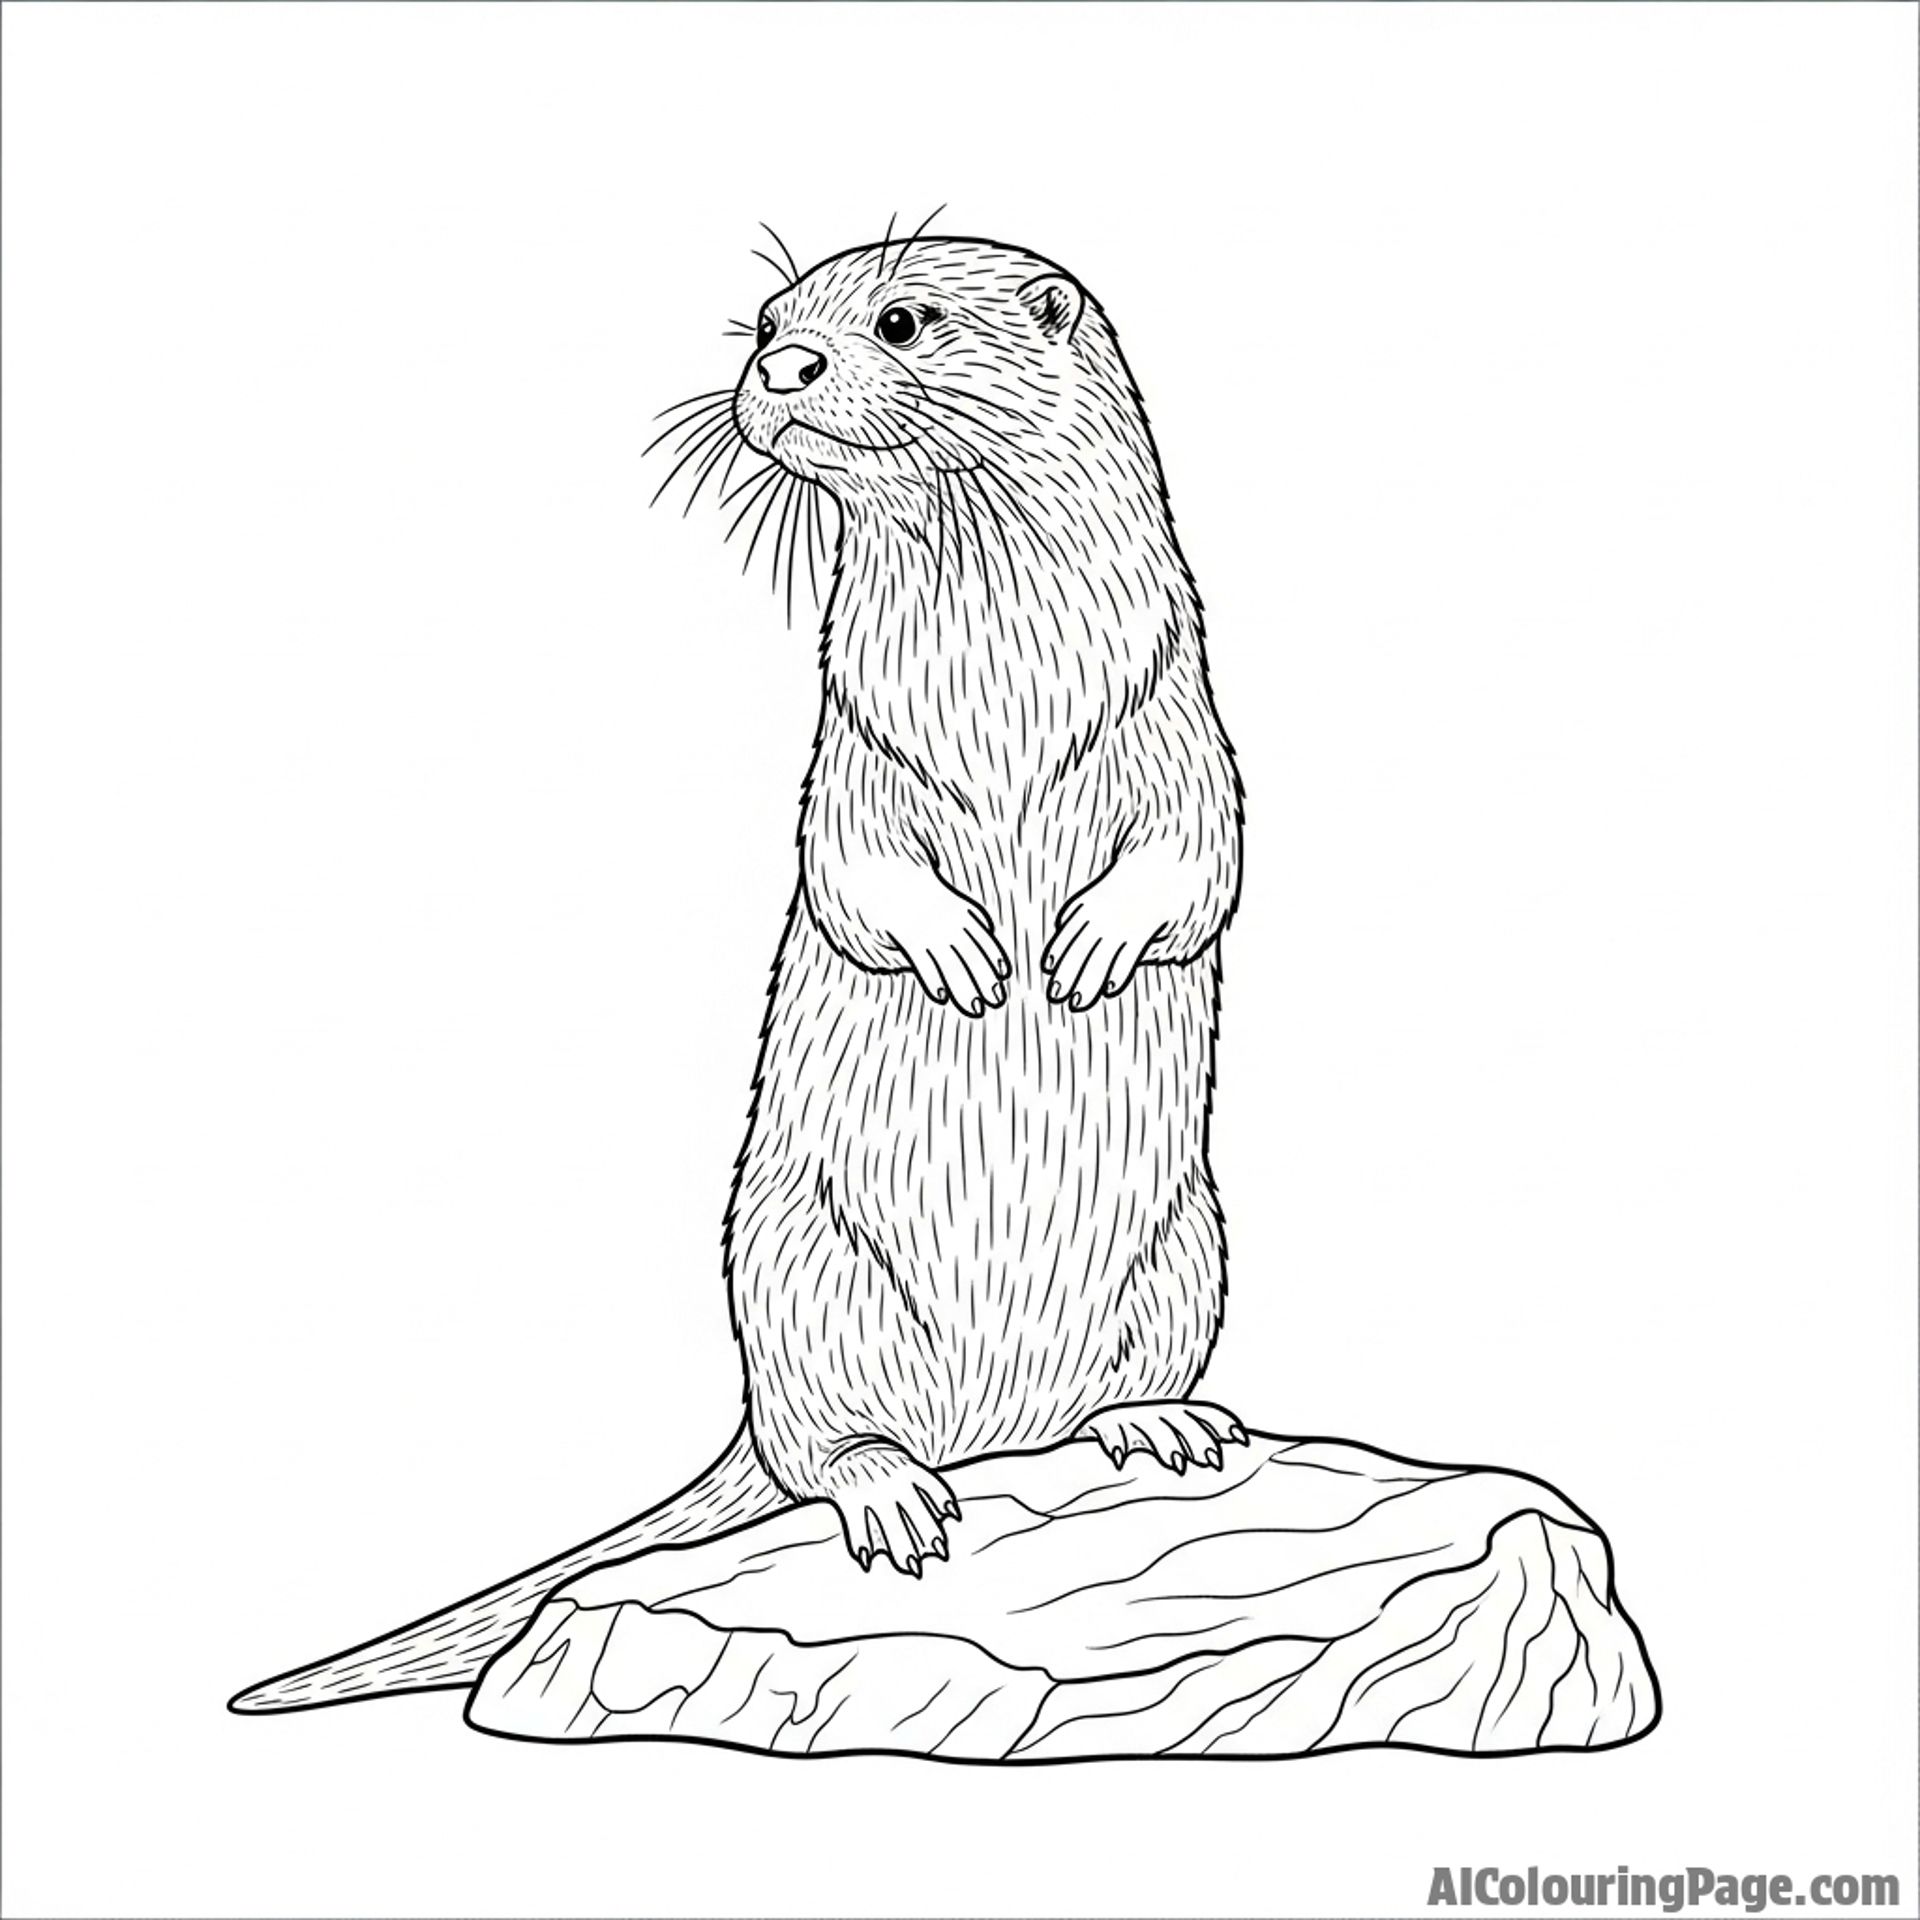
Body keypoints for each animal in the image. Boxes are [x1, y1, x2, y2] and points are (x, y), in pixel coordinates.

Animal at [230, 232, 1245, 1715]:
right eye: (769, 319)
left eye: (902, 318)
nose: (784, 364)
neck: (1003, 685)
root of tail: (996, 1431)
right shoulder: (854, 750)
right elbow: (854, 871)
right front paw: (967, 955)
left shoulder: (1180, 712)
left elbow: (1199, 854)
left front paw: (1082, 949)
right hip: (798, 1274)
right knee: (823, 1447)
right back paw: (891, 1491)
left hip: (1186, 1254)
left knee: (1117, 1378)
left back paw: (1154, 1421)